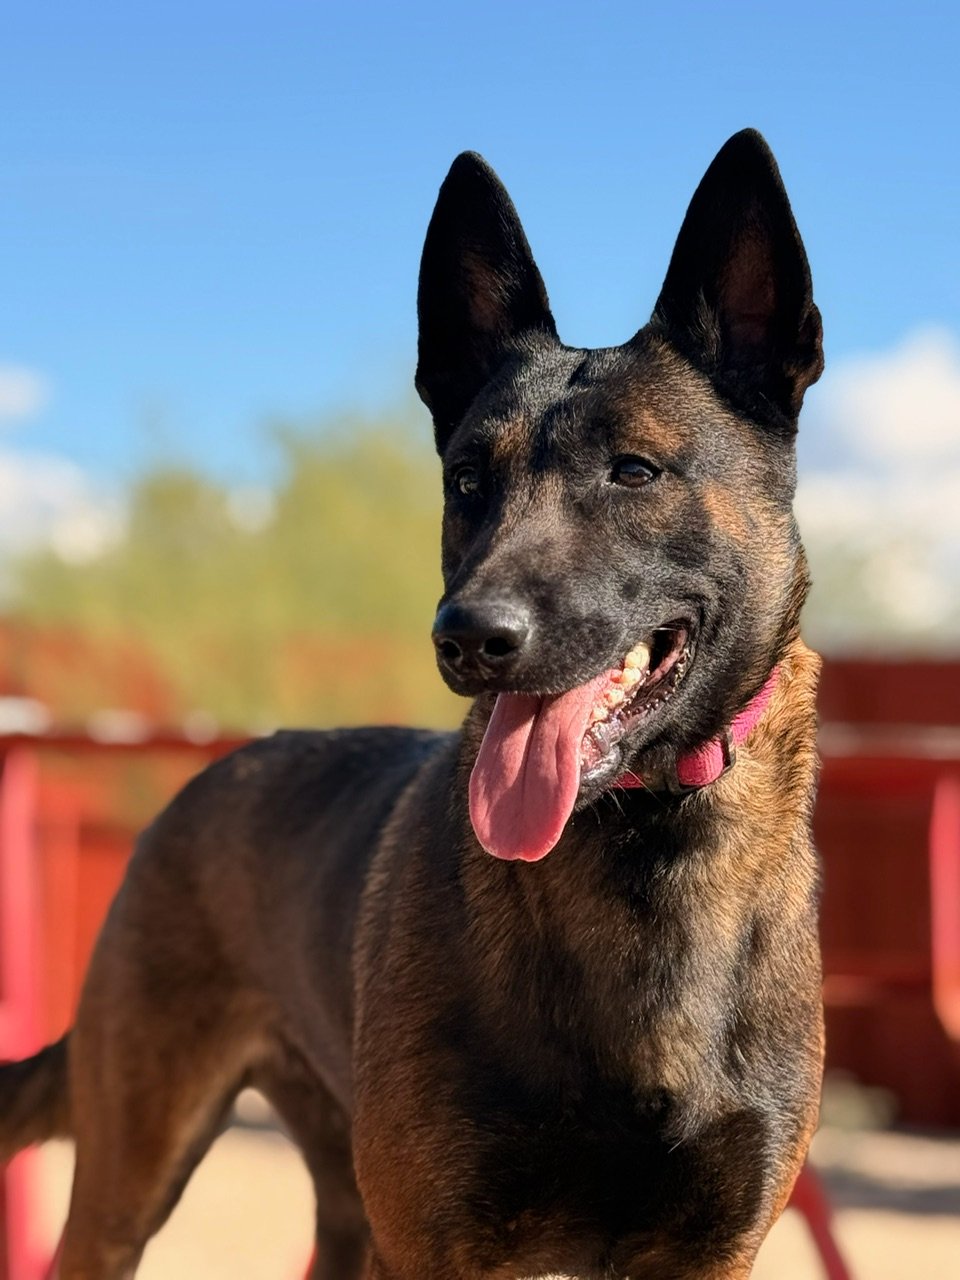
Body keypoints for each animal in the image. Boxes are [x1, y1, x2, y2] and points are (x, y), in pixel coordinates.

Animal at [1, 129, 825, 1279]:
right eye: (469, 480)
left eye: (634, 471)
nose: (469, 636)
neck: (646, 853)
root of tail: (214, 773)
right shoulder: (441, 1243)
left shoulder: (707, 1252)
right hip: (135, 1177)